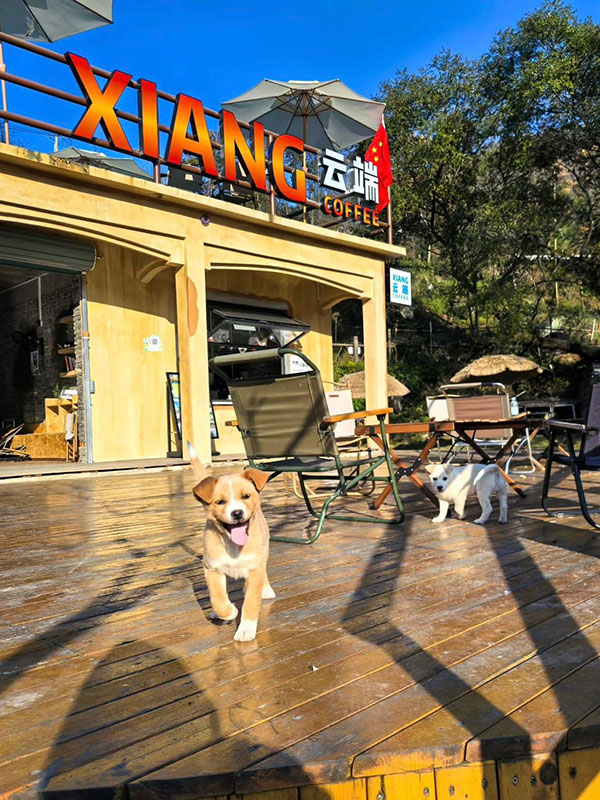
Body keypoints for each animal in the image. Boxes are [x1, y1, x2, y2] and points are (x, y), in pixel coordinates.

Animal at [188, 442, 275, 642]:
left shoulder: (254, 568)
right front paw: (228, 612)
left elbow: (251, 602)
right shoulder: (211, 568)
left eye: (246, 496)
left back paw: (266, 589)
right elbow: (217, 597)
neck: (234, 546)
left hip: (264, 551)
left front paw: (246, 629)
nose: (237, 513)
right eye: (220, 502)